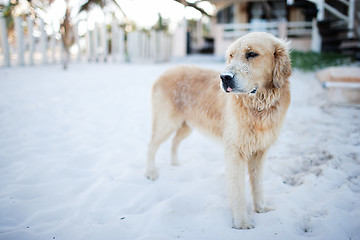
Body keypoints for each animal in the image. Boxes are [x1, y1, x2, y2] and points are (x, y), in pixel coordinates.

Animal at [145, 31, 292, 229]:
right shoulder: (235, 151)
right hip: (166, 123)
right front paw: (242, 222)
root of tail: (166, 72)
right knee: (151, 145)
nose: (225, 77)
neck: (259, 105)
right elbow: (238, 190)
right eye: (230, 56)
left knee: (174, 143)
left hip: (186, 126)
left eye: (251, 54)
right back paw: (151, 173)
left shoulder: (260, 151)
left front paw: (261, 208)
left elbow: (257, 184)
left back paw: (175, 165)